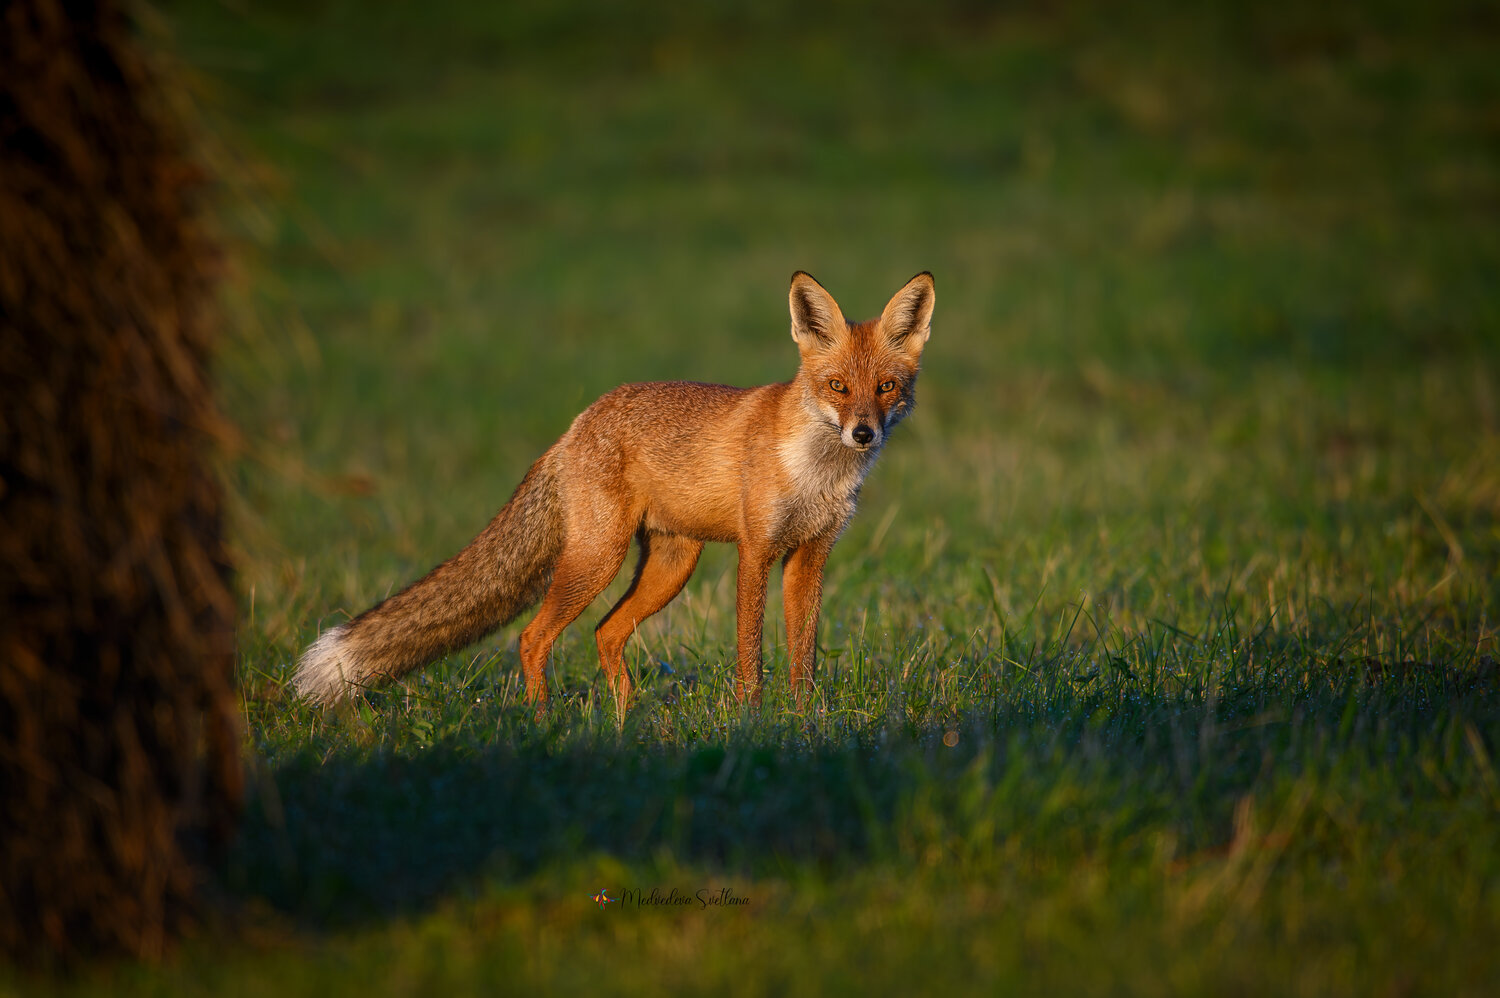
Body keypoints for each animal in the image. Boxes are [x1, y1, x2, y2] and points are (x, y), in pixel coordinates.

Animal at [292, 270, 934, 714]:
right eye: (837, 386)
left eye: (886, 387)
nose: (863, 433)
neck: (816, 474)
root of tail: (574, 426)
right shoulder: (756, 552)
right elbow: (751, 651)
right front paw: (754, 719)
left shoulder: (810, 555)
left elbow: (803, 650)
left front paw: (803, 719)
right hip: (598, 558)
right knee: (533, 637)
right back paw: (543, 721)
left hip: (670, 567)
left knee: (606, 633)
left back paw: (626, 724)